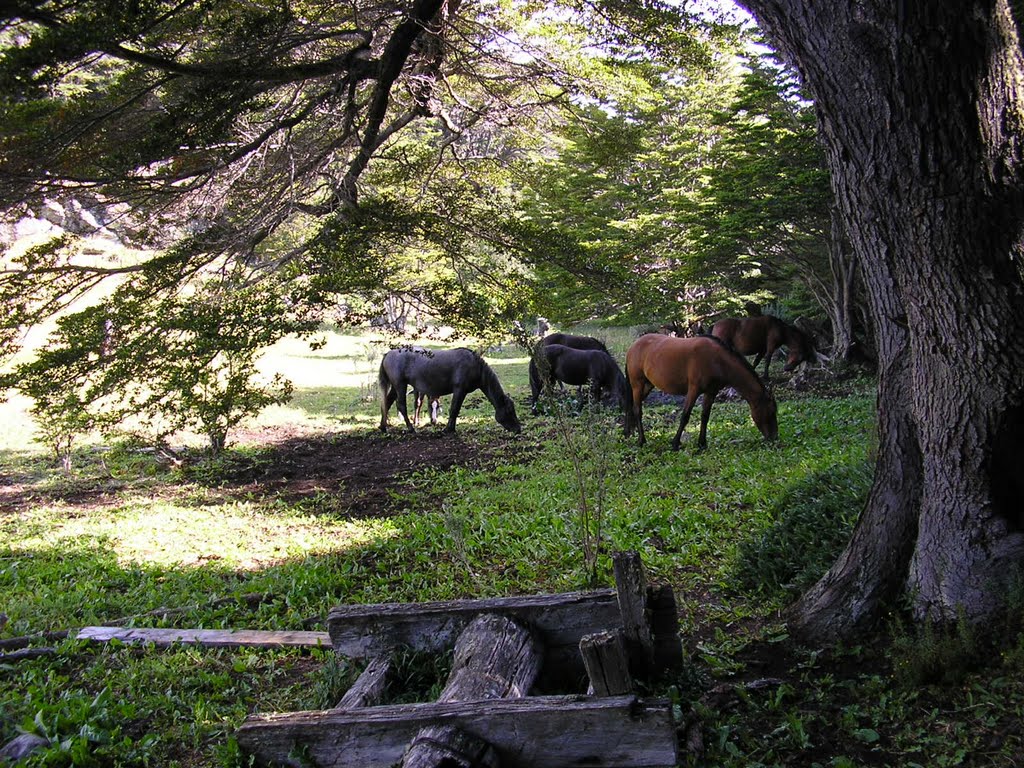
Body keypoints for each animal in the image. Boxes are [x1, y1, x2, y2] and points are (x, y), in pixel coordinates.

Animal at [376, 348, 520, 434]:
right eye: (509, 411)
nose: (519, 429)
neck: (475, 367)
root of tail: (388, 354)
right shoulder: (459, 390)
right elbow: (454, 409)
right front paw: (448, 429)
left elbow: (455, 410)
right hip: (400, 385)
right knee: (401, 405)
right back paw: (411, 428)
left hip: (395, 386)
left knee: (387, 402)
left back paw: (383, 427)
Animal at [622, 335, 774, 450]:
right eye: (770, 412)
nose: (774, 438)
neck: (717, 360)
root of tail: (633, 346)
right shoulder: (694, 390)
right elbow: (685, 416)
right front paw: (675, 443)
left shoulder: (711, 392)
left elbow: (705, 416)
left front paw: (702, 444)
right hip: (637, 384)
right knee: (637, 410)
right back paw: (641, 440)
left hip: (648, 385)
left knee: (631, 407)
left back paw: (627, 433)